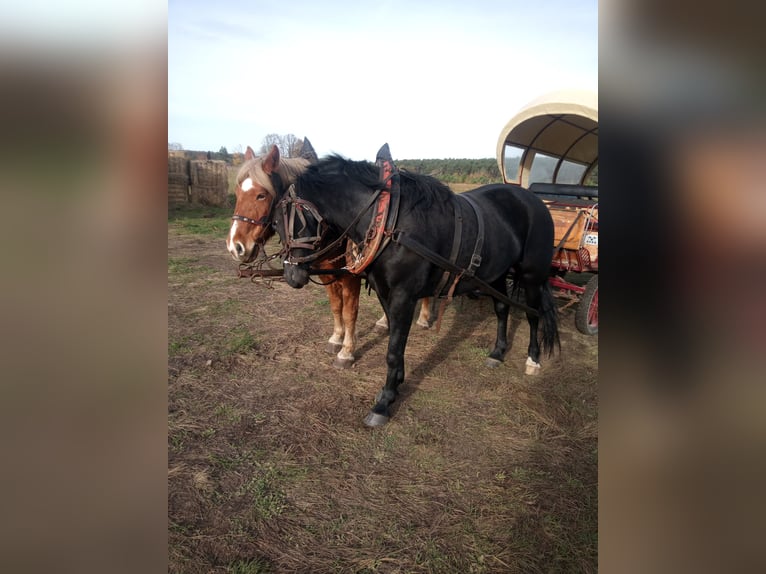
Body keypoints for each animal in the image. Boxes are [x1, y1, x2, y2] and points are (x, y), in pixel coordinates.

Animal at [225, 141, 430, 368]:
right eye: (237, 192)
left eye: (261, 195)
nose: (235, 246)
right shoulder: (326, 275)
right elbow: (335, 306)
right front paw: (336, 338)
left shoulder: (350, 277)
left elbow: (350, 312)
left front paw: (347, 351)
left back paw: (424, 317)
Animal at [275, 152, 560, 427]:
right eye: (275, 224)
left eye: (294, 219)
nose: (292, 275)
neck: (389, 220)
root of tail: (534, 200)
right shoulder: (385, 292)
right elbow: (395, 341)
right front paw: (395, 384)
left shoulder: (403, 296)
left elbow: (393, 349)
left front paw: (384, 403)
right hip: (496, 274)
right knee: (502, 308)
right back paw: (498, 352)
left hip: (532, 275)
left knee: (533, 314)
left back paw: (533, 359)